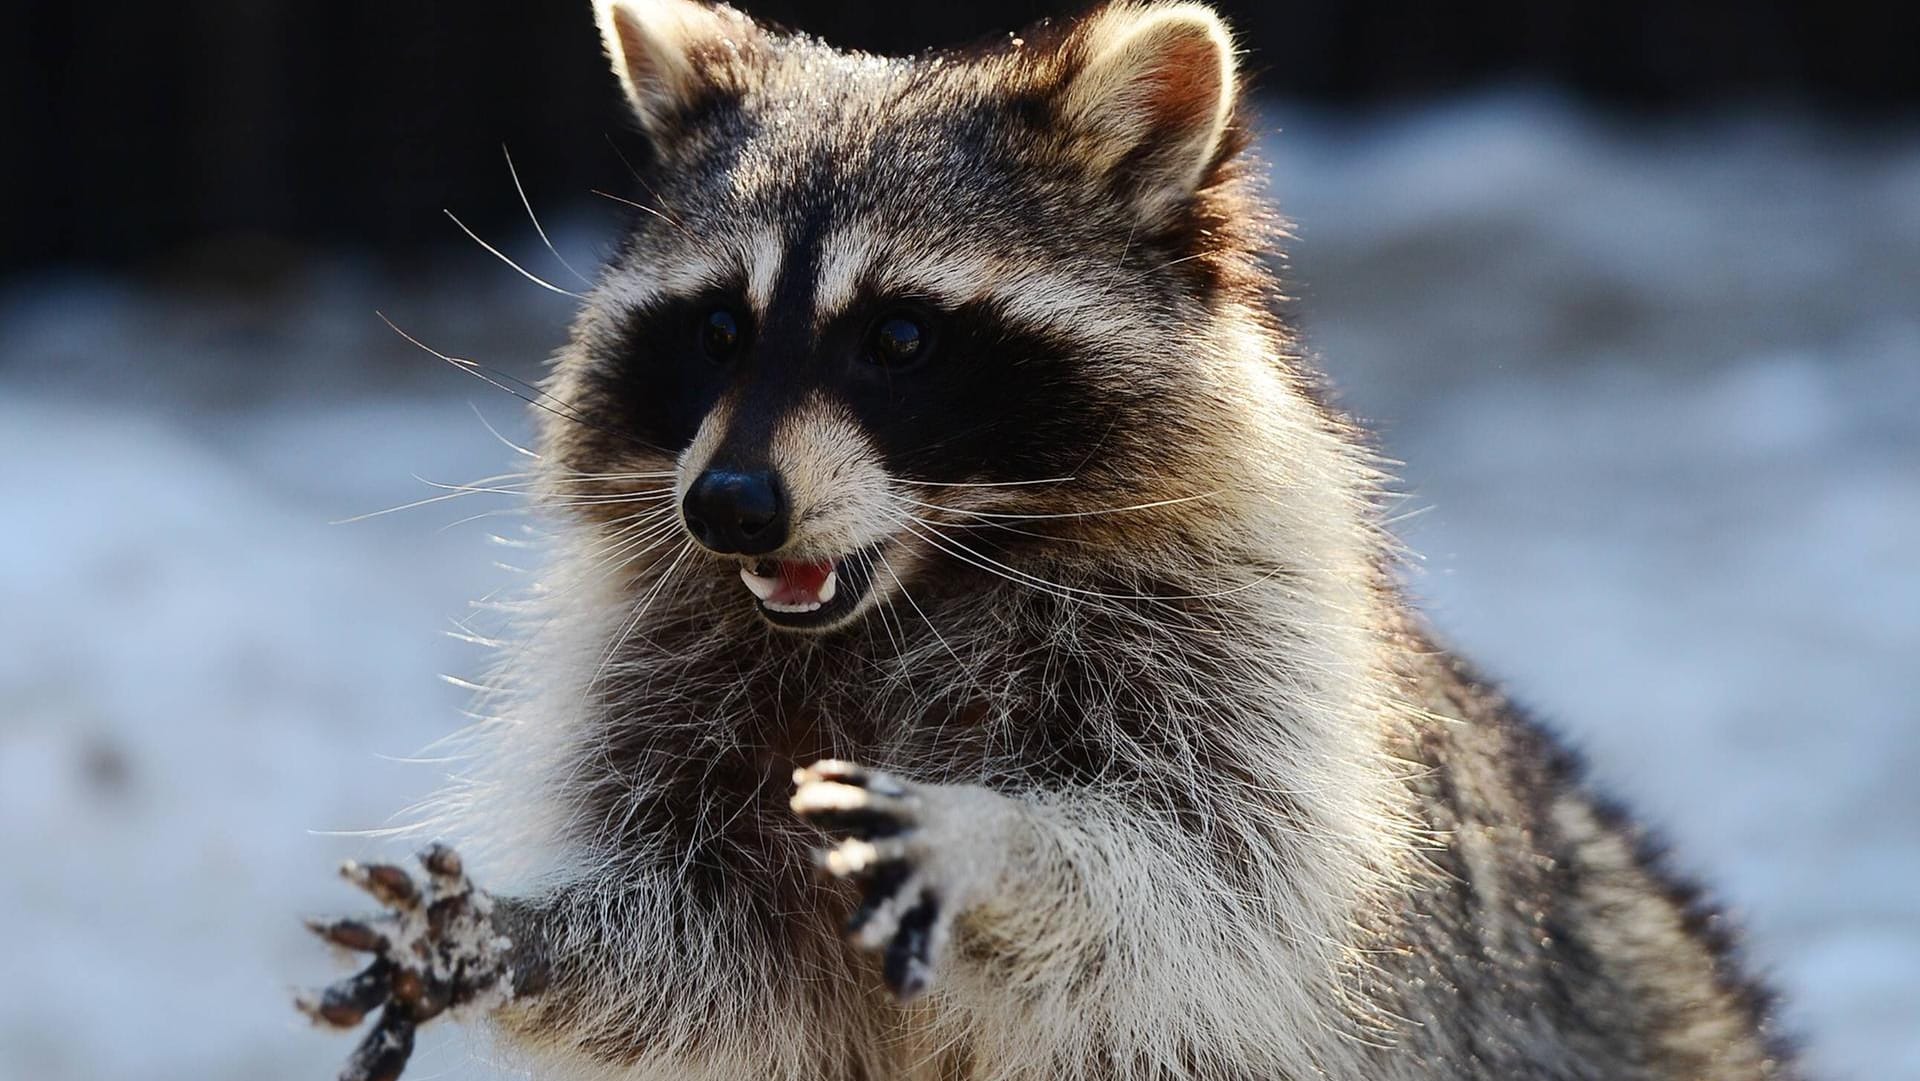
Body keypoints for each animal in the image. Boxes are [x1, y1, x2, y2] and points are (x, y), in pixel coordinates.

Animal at [299, 2, 1797, 1081]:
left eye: (901, 337)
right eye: (718, 328)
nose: (728, 505)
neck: (916, 585)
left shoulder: (1250, 665)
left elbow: (1197, 890)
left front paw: (1000, 843)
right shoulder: (671, 682)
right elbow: (702, 956)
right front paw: (531, 938)